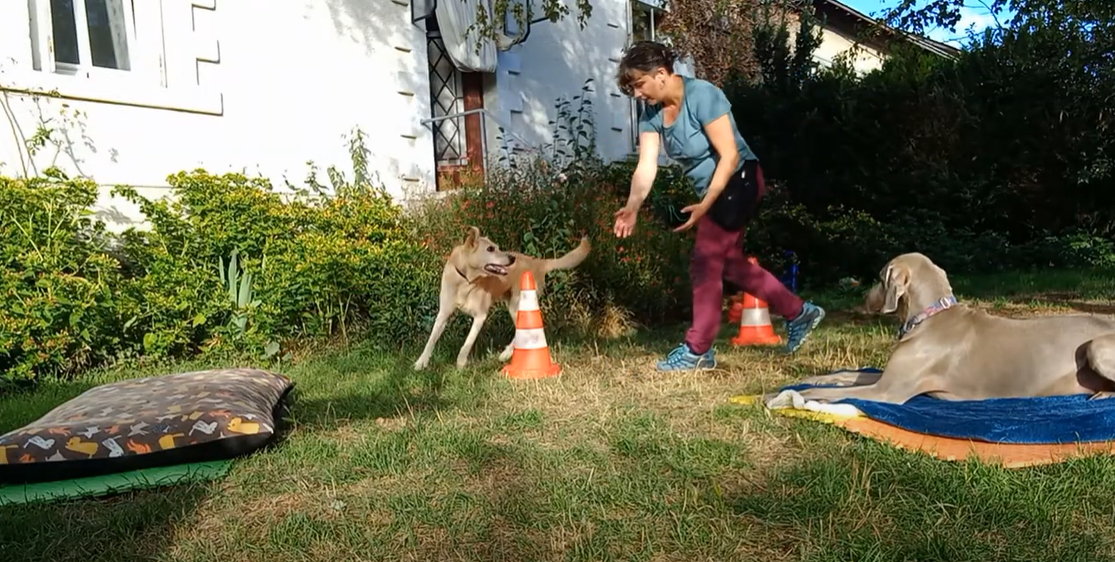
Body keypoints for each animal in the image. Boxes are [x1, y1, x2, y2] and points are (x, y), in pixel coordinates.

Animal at [414, 226, 593, 370]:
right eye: (490, 249)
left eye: (498, 247)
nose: (511, 258)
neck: (466, 279)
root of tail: (538, 263)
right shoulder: (443, 314)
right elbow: (431, 340)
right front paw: (421, 362)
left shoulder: (480, 316)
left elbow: (467, 342)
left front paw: (461, 362)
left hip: (519, 305)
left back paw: (506, 353)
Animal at [771, 252, 1115, 405]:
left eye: (879, 278)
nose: (863, 298)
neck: (930, 317)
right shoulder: (888, 377)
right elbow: (845, 375)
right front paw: (817, 377)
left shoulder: (888, 392)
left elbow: (831, 393)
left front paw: (794, 394)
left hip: (1096, 346)